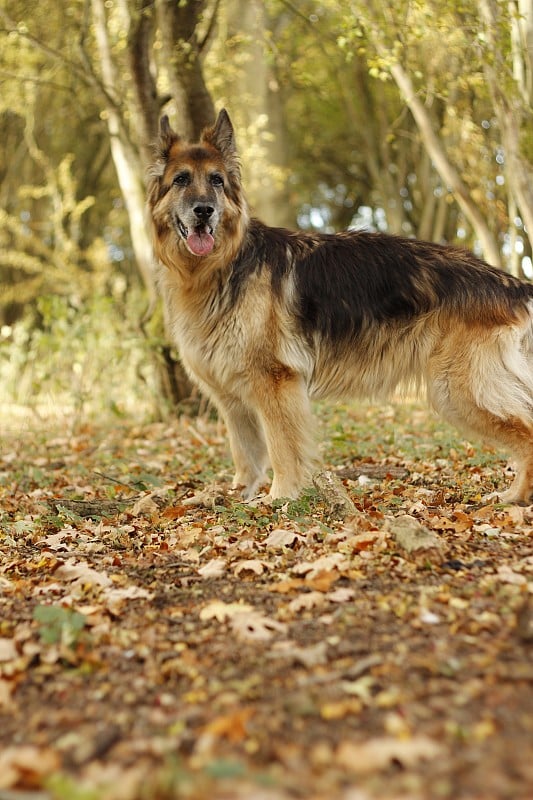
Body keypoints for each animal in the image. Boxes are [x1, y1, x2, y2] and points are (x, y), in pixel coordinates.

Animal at [145, 109, 532, 504]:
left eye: (217, 181)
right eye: (181, 180)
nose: (204, 211)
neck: (223, 265)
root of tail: (512, 283)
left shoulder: (275, 382)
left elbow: (282, 448)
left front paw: (280, 497)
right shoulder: (231, 397)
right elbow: (246, 453)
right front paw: (233, 496)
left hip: (458, 390)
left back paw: (515, 497)